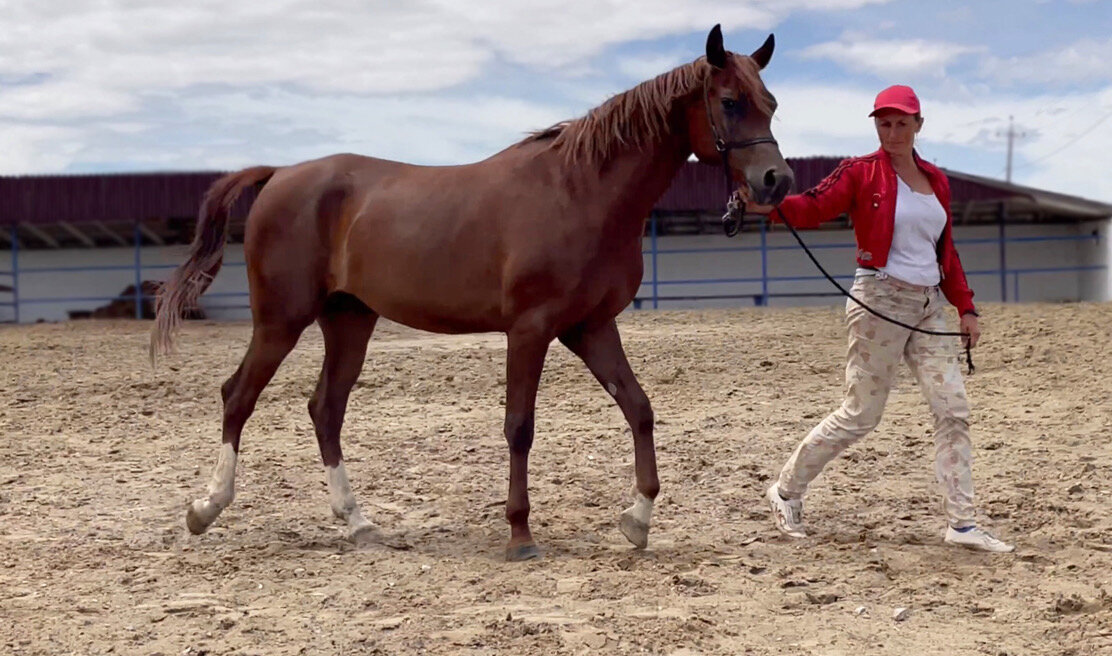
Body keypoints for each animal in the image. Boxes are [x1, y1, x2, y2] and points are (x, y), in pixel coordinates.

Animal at [154, 24, 791, 560]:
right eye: (730, 102)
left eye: (771, 103)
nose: (775, 181)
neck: (580, 191)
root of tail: (279, 175)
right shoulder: (530, 330)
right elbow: (519, 427)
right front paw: (520, 535)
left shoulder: (589, 327)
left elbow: (639, 408)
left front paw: (637, 521)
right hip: (281, 320)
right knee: (238, 396)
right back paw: (205, 508)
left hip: (349, 320)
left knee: (325, 409)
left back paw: (359, 524)